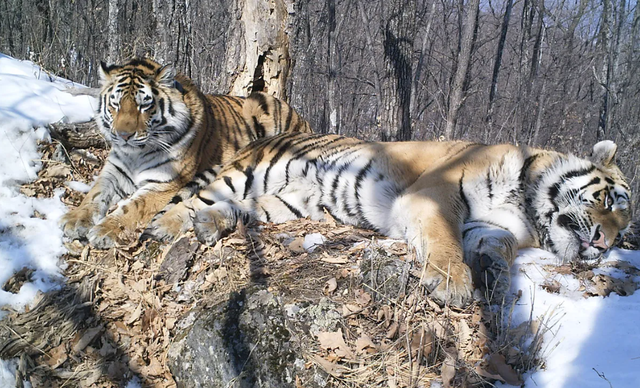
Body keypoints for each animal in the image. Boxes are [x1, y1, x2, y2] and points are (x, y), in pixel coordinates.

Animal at [60, 57, 310, 249]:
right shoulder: (113, 172)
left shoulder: (164, 183)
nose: (123, 135)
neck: (135, 154)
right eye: (116, 104)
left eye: (144, 105)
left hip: (260, 103)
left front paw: (104, 230)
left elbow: (132, 207)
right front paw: (74, 220)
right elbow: (94, 194)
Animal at [144, 132, 632, 308]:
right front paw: (453, 284)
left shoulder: (493, 226)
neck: (527, 204)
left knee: (238, 209)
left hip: (285, 204)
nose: (605, 244)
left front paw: (493, 275)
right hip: (248, 173)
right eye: (609, 201)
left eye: (625, 229)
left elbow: (498, 247)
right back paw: (165, 227)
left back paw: (211, 224)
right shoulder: (435, 195)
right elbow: (444, 240)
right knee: (189, 199)